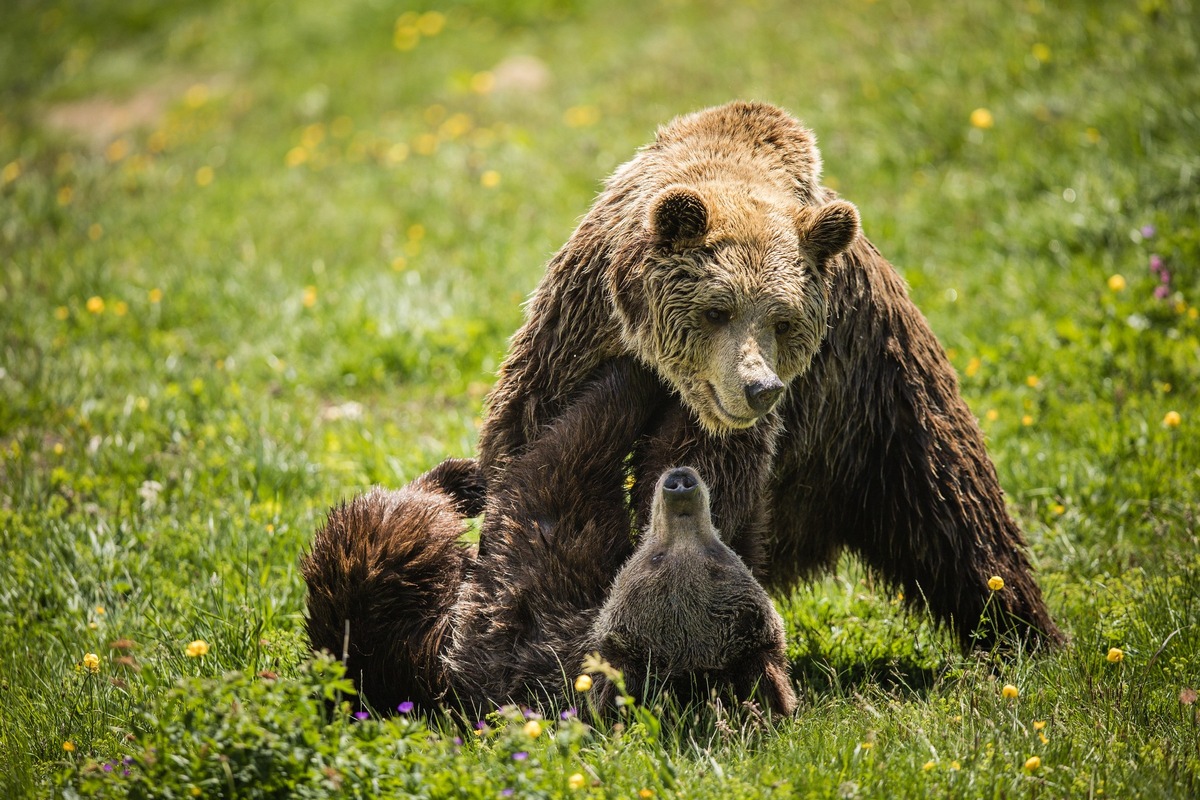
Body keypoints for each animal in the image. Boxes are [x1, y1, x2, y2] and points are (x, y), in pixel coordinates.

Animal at [477, 101, 1060, 652]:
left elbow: (704, 484)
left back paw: (1025, 632)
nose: (760, 388)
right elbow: (534, 437)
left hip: (882, 394)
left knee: (951, 506)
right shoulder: (579, 329)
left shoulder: (742, 423)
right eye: (717, 309)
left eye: (783, 320)